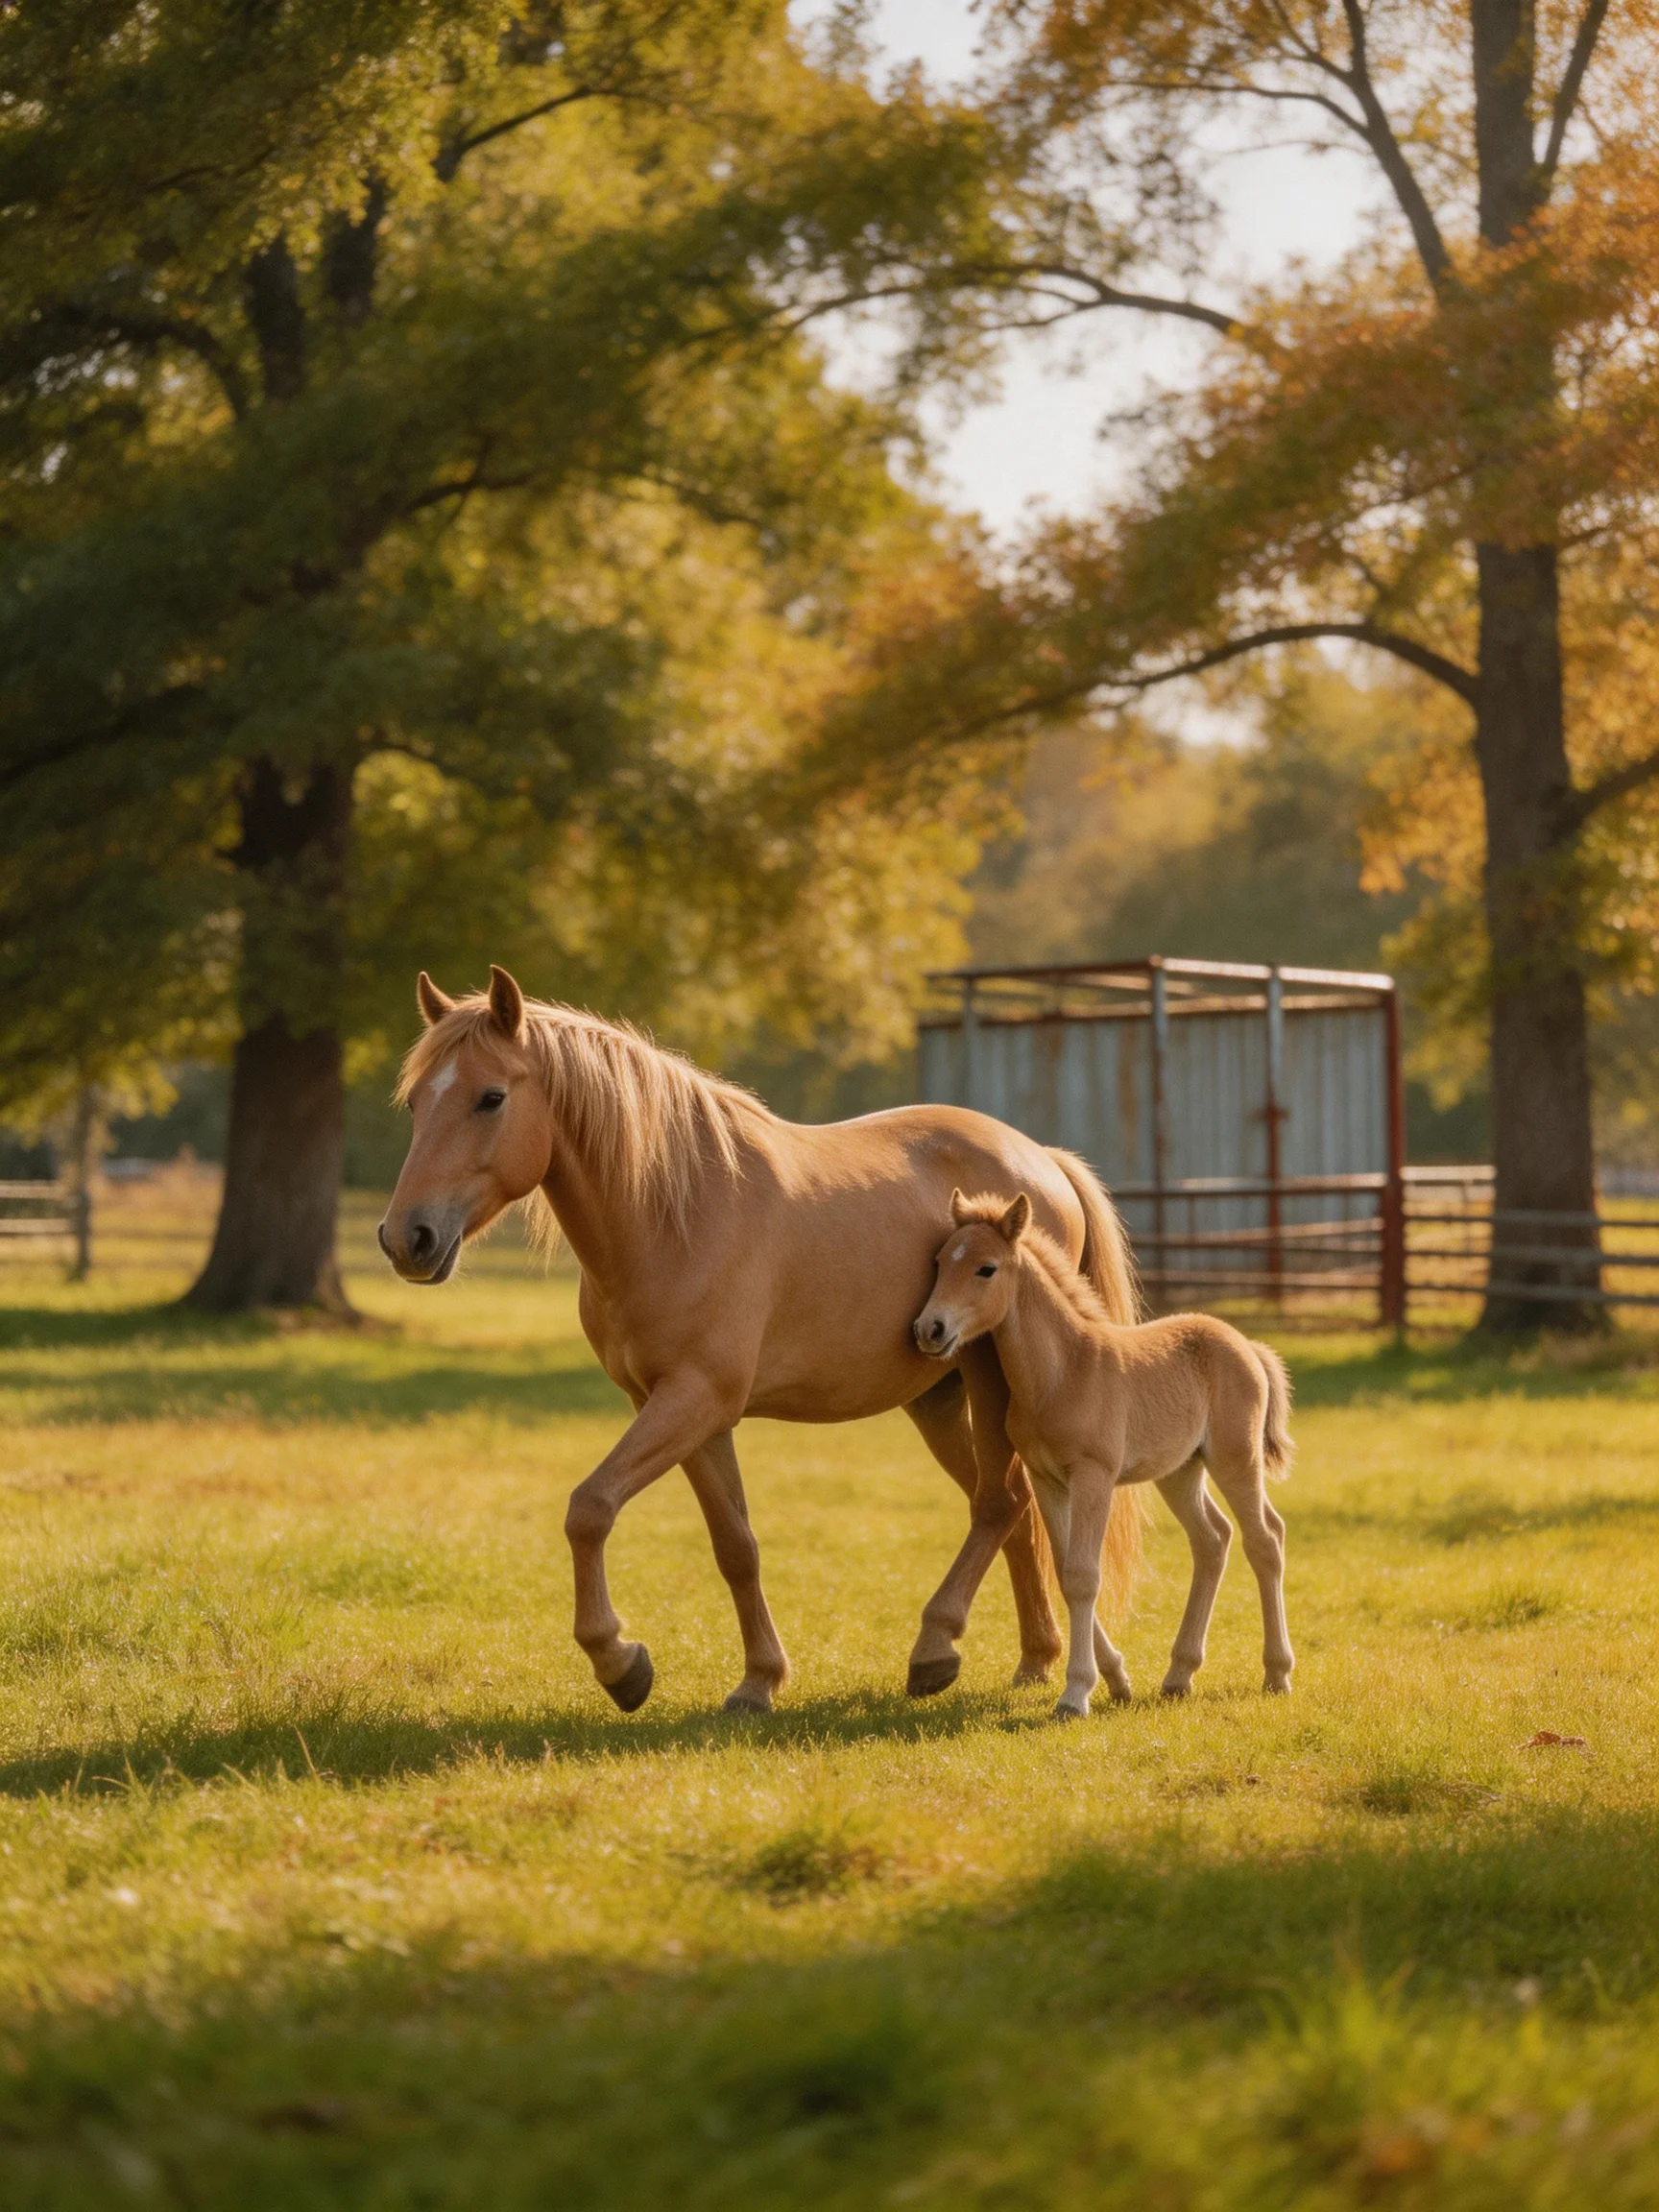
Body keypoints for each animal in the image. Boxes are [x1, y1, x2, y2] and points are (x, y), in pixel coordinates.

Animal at [378, 964, 1144, 1714]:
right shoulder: (679, 1412)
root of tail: (1041, 1159)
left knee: (998, 1505)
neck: (674, 1214)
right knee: (1019, 1512)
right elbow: (735, 1545)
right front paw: (758, 1680)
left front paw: (618, 1662)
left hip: (988, 1384)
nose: (406, 1237)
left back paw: (939, 1647)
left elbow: (589, 1510)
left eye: (490, 1098)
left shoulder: (695, 1400)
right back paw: (1038, 1659)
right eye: (414, 1104)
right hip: (938, 1399)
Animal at [914, 1190, 1295, 1720]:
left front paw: (1076, 1695)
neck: (1062, 1372)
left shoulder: (1093, 1476)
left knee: (1265, 1539)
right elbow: (1064, 1568)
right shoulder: (1046, 1479)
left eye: (986, 1269)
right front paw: (1113, 1680)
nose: (929, 1329)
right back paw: (1179, 1675)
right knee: (1212, 1539)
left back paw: (1277, 1674)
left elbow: (1083, 1576)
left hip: (1235, 1459)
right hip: (1180, 1470)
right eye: (938, 1262)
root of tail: (1249, 1346)